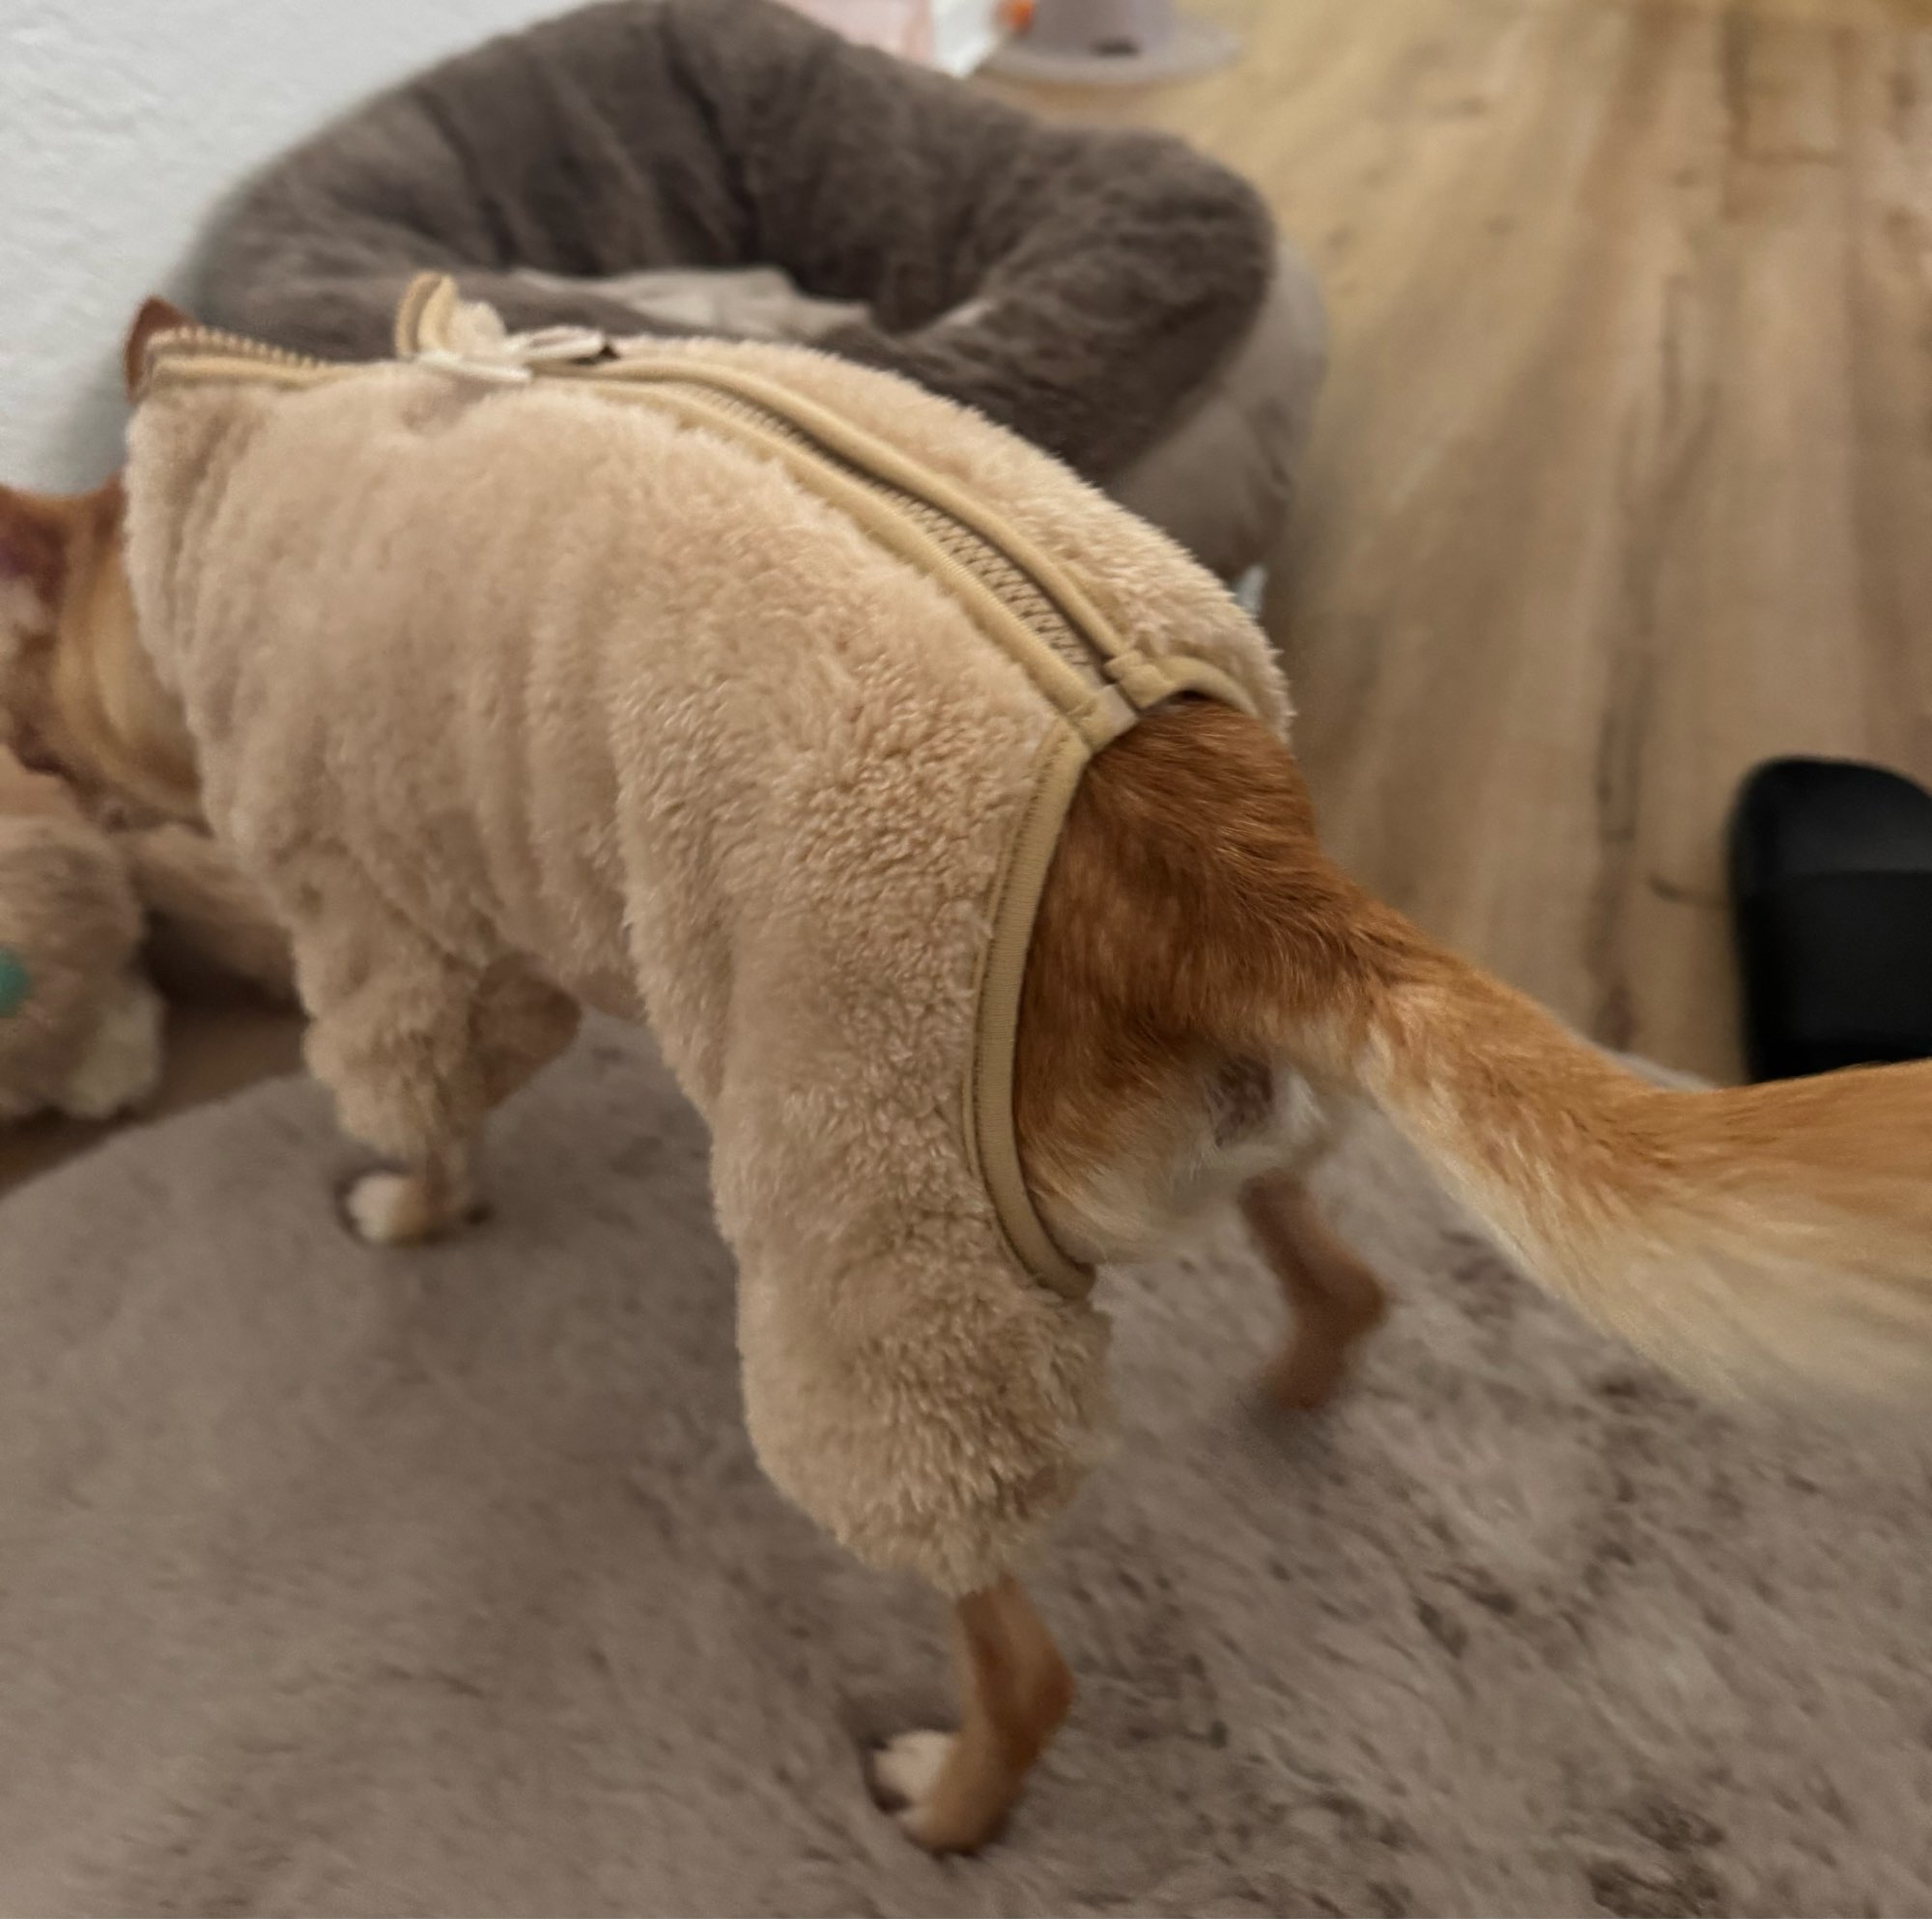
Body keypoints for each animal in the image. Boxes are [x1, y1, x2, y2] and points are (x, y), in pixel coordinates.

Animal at [2, 290, 1930, 1857]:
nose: (51, 781)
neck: (242, 465)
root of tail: (1204, 834)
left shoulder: (389, 929)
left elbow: (419, 1095)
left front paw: (405, 1206)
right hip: (1239, 1141)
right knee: (1345, 1281)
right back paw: (1290, 1395)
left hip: (885, 1246)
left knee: (1015, 1648)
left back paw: (945, 1801)